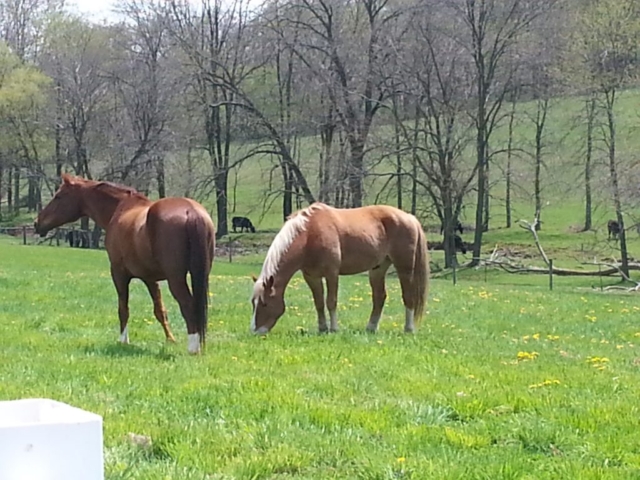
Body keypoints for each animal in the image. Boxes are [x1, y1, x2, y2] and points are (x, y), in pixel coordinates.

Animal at [34, 174, 215, 354]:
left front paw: (123, 341)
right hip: (201, 274)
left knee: (188, 306)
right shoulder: (149, 278)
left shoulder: (118, 273)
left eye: (58, 196)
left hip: (175, 278)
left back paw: (193, 349)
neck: (122, 208)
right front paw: (170, 340)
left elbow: (123, 309)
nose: (37, 223)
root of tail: (190, 211)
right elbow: (159, 310)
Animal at [250, 202, 430, 334]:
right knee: (379, 297)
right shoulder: (311, 276)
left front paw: (334, 329)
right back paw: (371, 328)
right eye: (253, 302)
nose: (255, 331)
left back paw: (408, 329)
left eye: (264, 303)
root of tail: (409, 217)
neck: (309, 234)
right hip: (378, 269)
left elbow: (331, 302)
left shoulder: (332, 274)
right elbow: (319, 303)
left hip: (404, 267)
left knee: (408, 296)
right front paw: (322, 328)